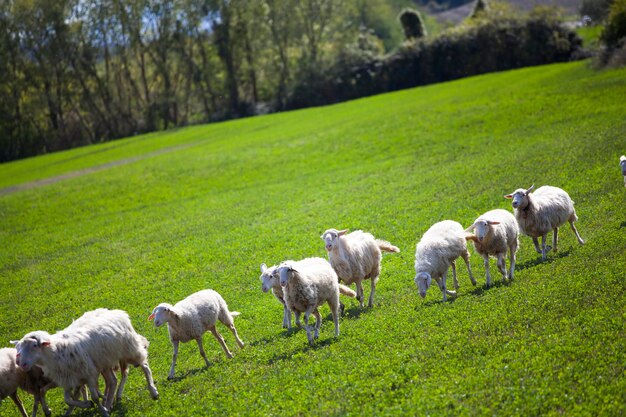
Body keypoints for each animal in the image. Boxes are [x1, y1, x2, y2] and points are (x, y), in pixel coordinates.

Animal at [12, 308, 158, 414]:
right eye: (18, 348)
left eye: (34, 345)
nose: (21, 363)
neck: (56, 353)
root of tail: (118, 312)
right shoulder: (69, 379)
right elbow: (68, 400)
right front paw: (88, 404)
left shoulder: (88, 374)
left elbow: (93, 397)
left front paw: (102, 410)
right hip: (105, 362)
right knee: (113, 381)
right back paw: (109, 402)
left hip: (129, 350)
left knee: (144, 365)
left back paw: (153, 391)